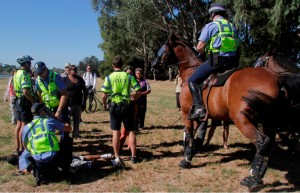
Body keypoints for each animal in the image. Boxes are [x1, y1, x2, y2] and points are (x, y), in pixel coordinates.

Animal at [151, 33, 300, 191]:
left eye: (163, 47)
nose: (153, 64)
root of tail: (277, 78)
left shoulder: (186, 114)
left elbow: (190, 136)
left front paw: (186, 159)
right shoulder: (199, 117)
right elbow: (195, 135)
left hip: (242, 119)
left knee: (262, 142)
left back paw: (253, 179)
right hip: (268, 122)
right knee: (269, 146)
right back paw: (256, 177)